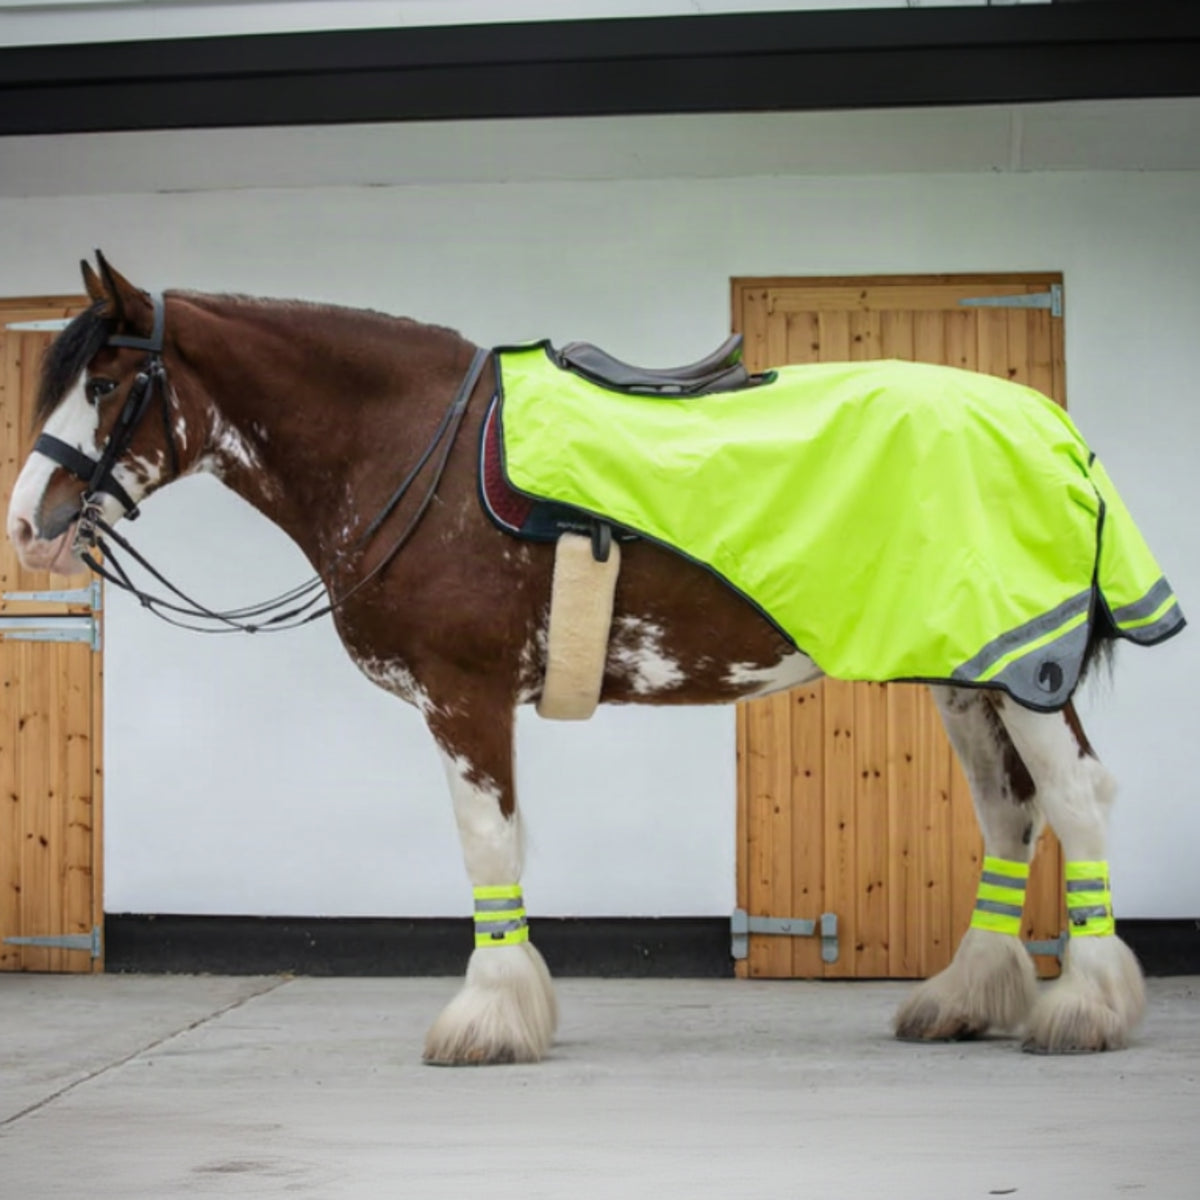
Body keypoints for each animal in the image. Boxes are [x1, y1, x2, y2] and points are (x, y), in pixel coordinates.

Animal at [7, 255, 1174, 1065]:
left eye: (105, 385)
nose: (27, 527)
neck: (416, 451)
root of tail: (1054, 432)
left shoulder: (463, 698)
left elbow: (487, 845)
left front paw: (487, 1018)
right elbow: (508, 847)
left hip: (1021, 671)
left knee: (1077, 798)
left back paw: (1085, 1007)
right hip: (964, 672)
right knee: (1011, 814)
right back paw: (966, 999)